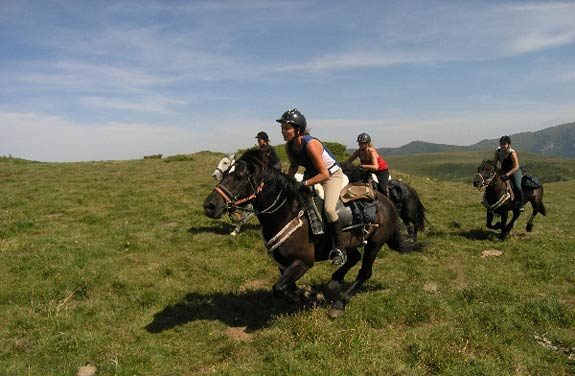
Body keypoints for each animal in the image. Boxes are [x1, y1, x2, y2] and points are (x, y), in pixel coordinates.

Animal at [202, 148, 424, 318]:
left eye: (238, 177)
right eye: (226, 173)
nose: (209, 206)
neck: (288, 212)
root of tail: (387, 202)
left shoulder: (303, 262)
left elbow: (279, 288)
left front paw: (309, 296)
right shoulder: (284, 265)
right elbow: (285, 287)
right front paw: (308, 294)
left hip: (376, 243)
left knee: (365, 271)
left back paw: (339, 303)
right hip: (349, 242)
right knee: (352, 257)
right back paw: (334, 281)